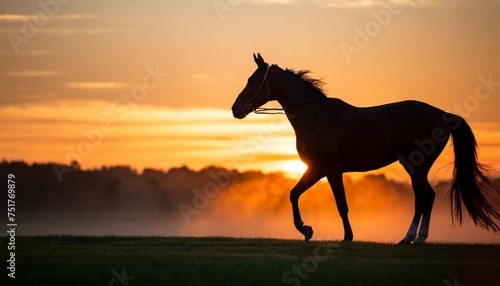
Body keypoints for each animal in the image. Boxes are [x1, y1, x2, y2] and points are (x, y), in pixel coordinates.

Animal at [230, 53, 500, 244]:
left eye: (252, 81)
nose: (235, 109)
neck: (314, 115)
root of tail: (443, 115)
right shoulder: (317, 170)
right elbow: (294, 194)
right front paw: (306, 230)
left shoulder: (329, 170)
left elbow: (340, 205)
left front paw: (344, 236)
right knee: (426, 197)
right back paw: (416, 238)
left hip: (416, 167)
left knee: (424, 197)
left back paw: (411, 238)